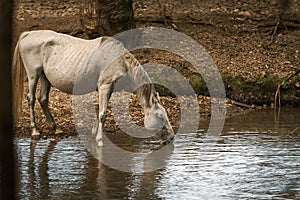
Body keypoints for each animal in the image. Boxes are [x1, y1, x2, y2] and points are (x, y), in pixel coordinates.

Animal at [12, 29, 175, 145]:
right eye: (160, 116)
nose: (172, 137)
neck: (122, 62)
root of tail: (28, 34)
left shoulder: (106, 89)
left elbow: (99, 111)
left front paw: (95, 132)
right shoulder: (105, 86)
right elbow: (102, 113)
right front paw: (100, 139)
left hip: (45, 77)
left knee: (43, 99)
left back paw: (56, 128)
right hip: (33, 74)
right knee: (31, 99)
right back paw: (35, 130)